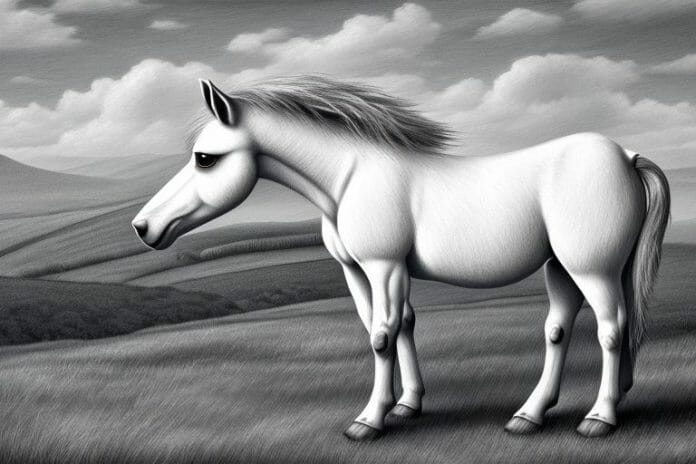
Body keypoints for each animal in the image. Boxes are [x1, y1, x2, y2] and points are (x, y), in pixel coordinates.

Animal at [132, 76, 670, 442]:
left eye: (205, 158)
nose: (143, 228)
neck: (350, 177)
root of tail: (627, 156)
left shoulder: (383, 266)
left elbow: (381, 336)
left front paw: (369, 421)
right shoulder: (359, 273)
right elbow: (402, 326)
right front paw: (407, 405)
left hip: (592, 269)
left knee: (611, 329)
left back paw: (599, 417)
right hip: (564, 268)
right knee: (561, 329)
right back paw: (533, 415)